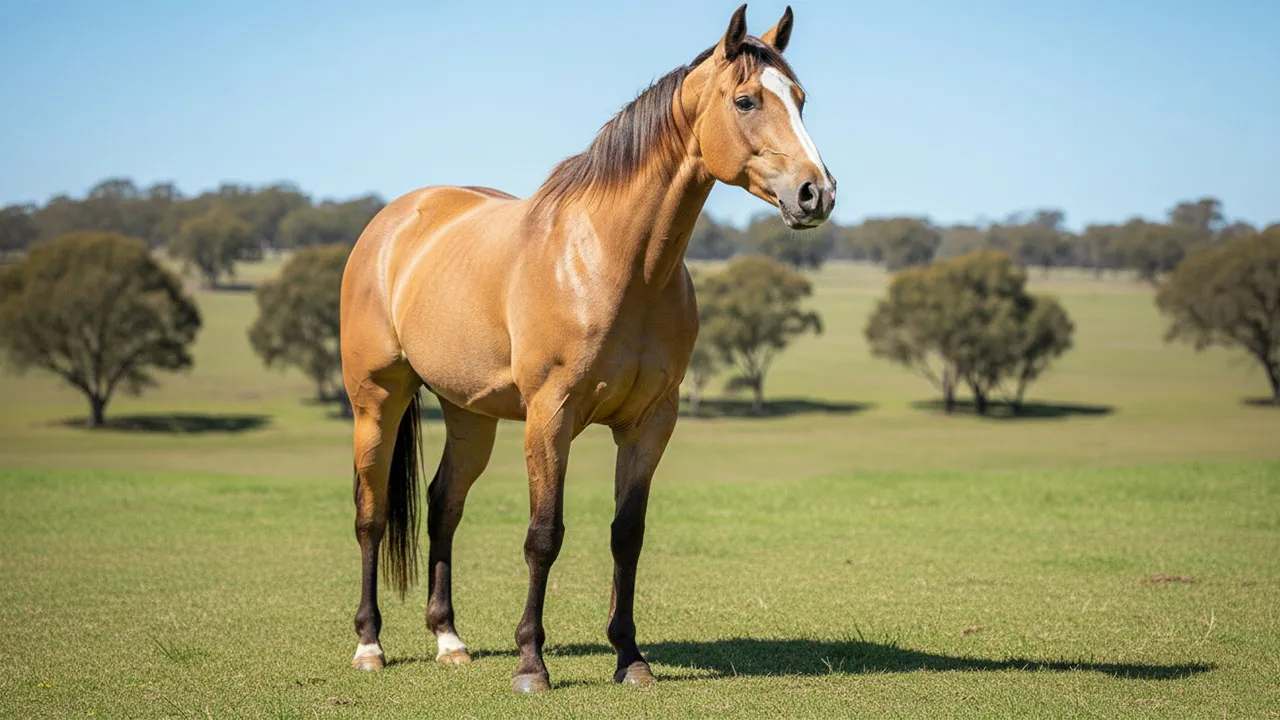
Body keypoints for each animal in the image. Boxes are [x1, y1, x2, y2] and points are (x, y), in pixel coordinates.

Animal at [338, 3, 835, 693]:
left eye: (801, 99)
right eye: (745, 100)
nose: (817, 193)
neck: (614, 261)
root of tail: (395, 221)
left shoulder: (650, 422)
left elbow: (627, 534)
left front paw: (631, 658)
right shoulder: (550, 416)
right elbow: (543, 535)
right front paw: (531, 665)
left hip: (470, 413)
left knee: (444, 506)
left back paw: (449, 640)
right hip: (376, 401)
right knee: (372, 512)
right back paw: (369, 645)